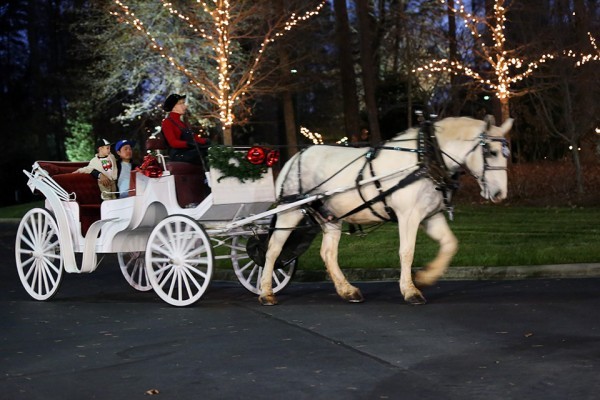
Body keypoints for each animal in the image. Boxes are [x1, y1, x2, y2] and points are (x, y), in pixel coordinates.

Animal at [260, 115, 512, 306]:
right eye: (491, 152)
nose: (501, 194)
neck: (426, 159)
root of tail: (294, 157)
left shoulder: (431, 216)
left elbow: (450, 244)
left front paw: (426, 276)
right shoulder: (408, 215)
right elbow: (407, 251)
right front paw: (410, 290)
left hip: (331, 216)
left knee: (328, 253)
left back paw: (347, 290)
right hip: (290, 210)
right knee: (273, 249)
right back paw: (266, 292)